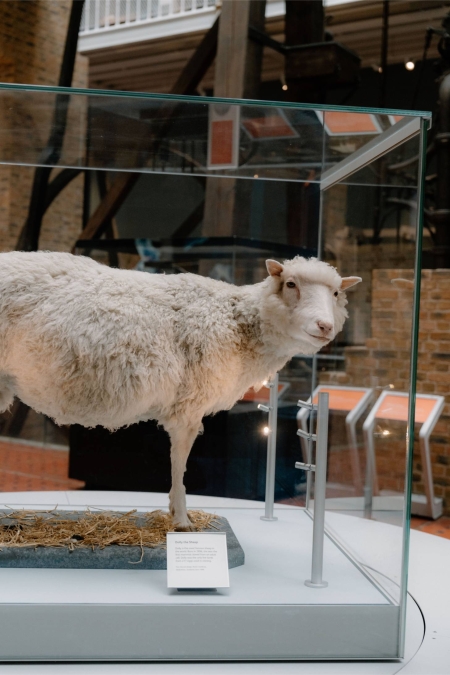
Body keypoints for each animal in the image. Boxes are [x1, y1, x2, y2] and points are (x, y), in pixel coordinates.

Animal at [0, 251, 361, 530]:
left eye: (336, 295)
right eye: (290, 284)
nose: (325, 327)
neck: (236, 323)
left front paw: (177, 513)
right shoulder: (189, 405)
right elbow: (180, 461)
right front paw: (182, 519)